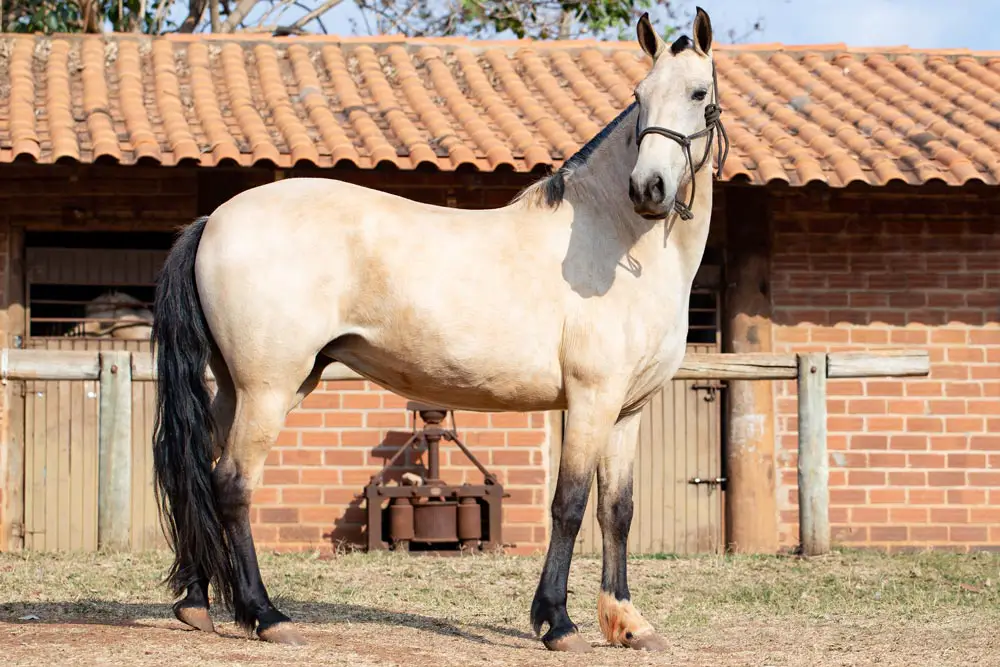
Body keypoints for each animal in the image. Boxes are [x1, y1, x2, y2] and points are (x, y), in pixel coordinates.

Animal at [148, 7, 728, 656]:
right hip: (268, 389)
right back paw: (265, 614)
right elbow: (570, 506)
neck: (614, 242)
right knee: (232, 485)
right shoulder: (590, 400)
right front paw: (558, 623)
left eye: (697, 93)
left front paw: (628, 623)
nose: (648, 189)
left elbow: (617, 511)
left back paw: (196, 604)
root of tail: (214, 220)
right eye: (638, 96)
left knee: (198, 474)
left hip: (239, 388)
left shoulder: (627, 410)